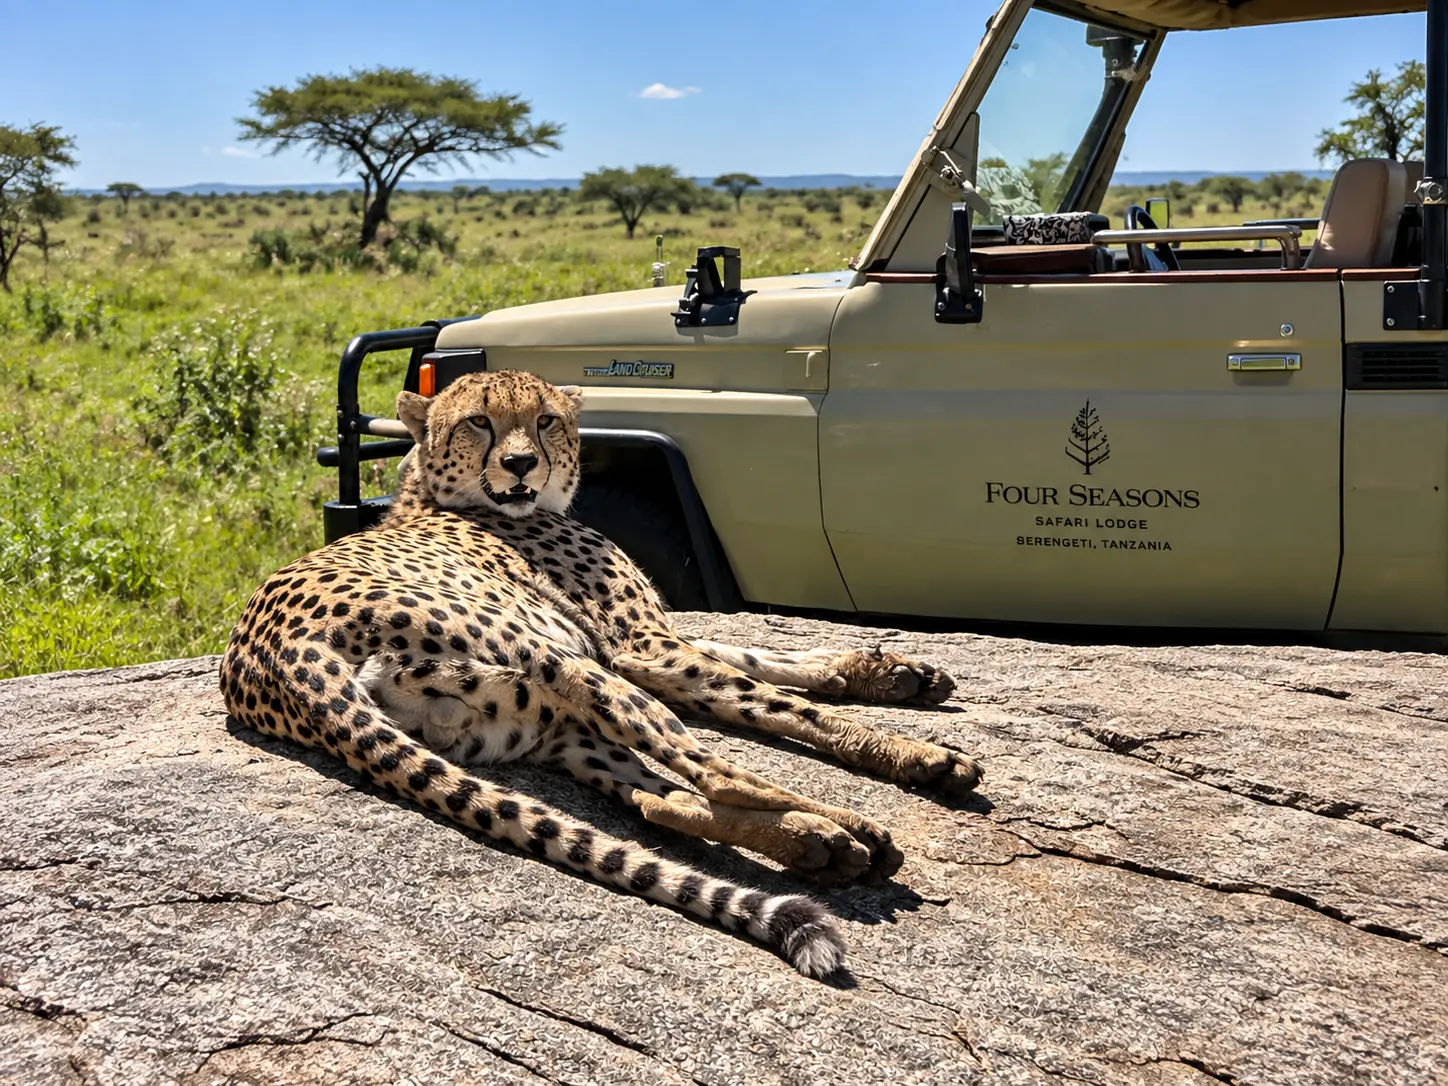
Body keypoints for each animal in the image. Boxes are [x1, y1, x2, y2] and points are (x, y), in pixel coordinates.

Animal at [219, 368, 982, 979]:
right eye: (479, 421)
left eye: (545, 420)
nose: (521, 464)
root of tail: (264, 654)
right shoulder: (636, 647)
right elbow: (776, 700)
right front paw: (915, 751)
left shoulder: (644, 643)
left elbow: (759, 659)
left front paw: (894, 674)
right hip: (567, 666)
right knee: (719, 774)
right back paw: (853, 830)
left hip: (540, 720)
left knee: (657, 801)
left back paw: (815, 845)